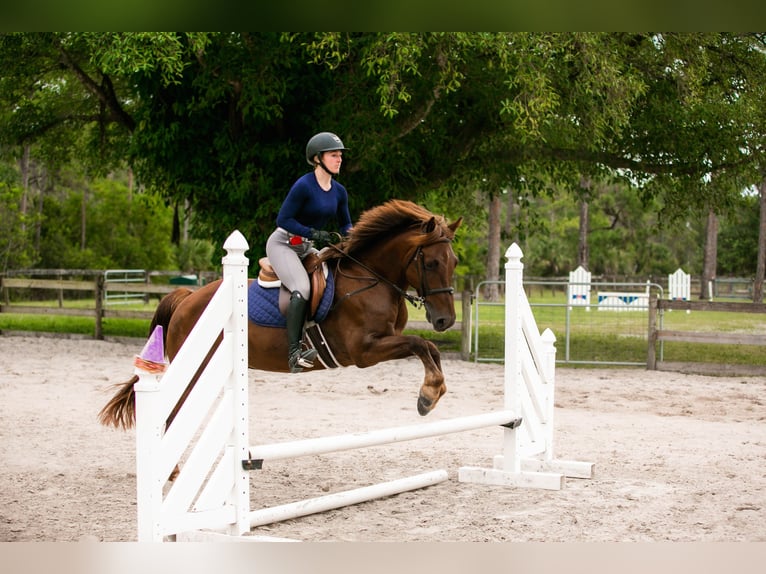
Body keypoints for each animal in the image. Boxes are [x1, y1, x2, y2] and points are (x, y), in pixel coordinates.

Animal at [99, 199, 462, 433]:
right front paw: (428, 395)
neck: (371, 276)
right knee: (173, 413)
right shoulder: (364, 351)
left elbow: (430, 348)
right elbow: (420, 344)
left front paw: (433, 393)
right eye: (431, 263)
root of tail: (188, 298)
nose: (445, 321)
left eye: (455, 261)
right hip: (192, 368)